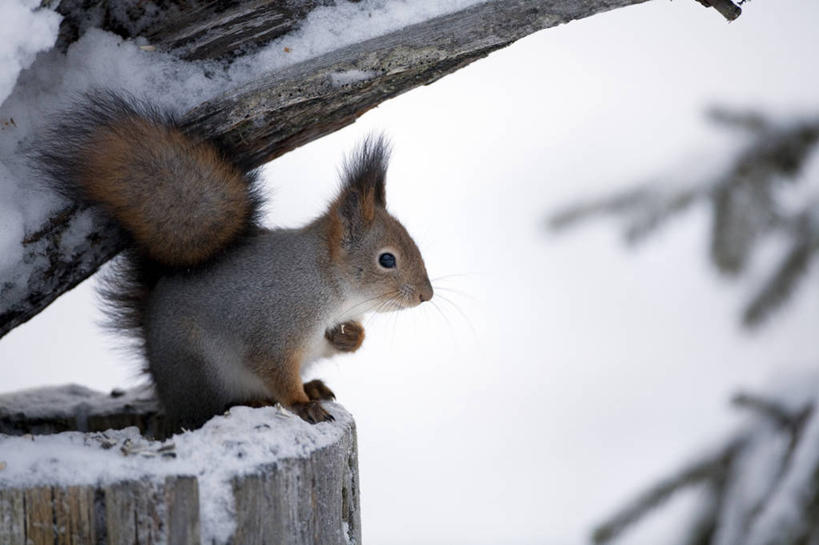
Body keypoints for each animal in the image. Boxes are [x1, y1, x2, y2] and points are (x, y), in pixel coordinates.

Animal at [32, 93, 432, 434]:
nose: (426, 296)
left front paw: (349, 336)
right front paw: (303, 406)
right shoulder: (276, 330)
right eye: (386, 259)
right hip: (203, 371)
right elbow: (274, 370)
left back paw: (314, 385)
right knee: (208, 409)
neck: (330, 284)